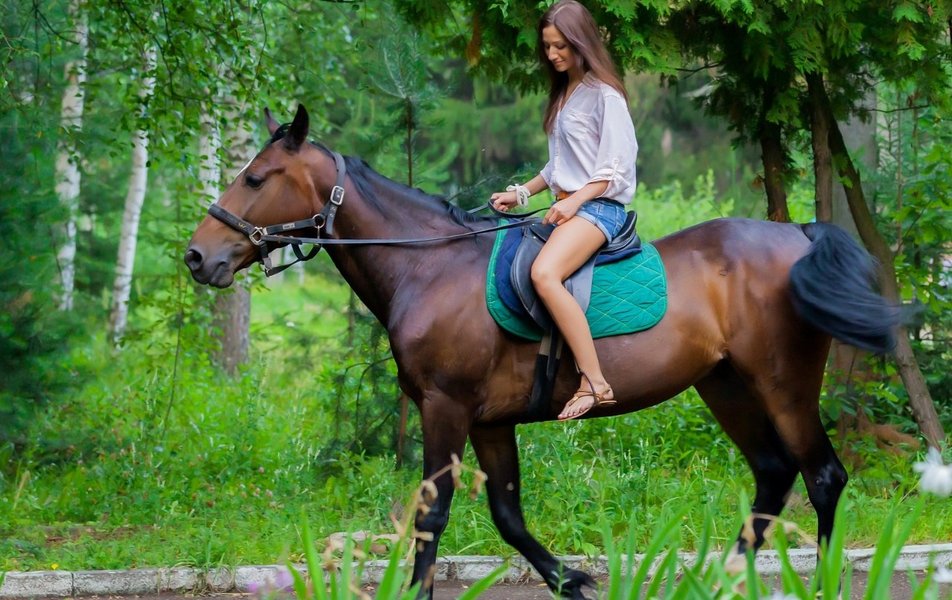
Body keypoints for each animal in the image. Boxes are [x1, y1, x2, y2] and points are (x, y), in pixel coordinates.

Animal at [185, 105, 898, 599]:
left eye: (256, 178)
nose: (197, 257)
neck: (429, 267)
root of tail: (798, 234)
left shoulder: (445, 407)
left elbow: (432, 513)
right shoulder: (490, 421)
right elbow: (507, 515)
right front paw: (571, 579)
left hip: (782, 383)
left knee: (822, 476)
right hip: (724, 385)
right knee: (773, 474)